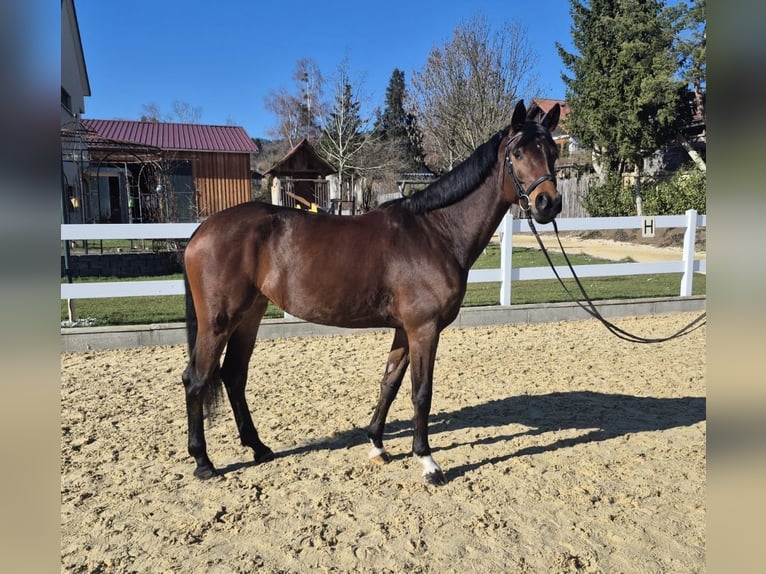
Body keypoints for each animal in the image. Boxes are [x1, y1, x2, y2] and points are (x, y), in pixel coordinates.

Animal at [181, 100, 562, 485]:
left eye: (553, 152)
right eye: (517, 153)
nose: (548, 203)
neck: (436, 232)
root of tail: (203, 230)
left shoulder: (404, 330)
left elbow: (389, 383)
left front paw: (377, 444)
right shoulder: (424, 330)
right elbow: (421, 393)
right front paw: (427, 461)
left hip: (250, 315)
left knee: (233, 375)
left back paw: (259, 448)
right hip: (219, 322)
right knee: (196, 379)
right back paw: (203, 461)